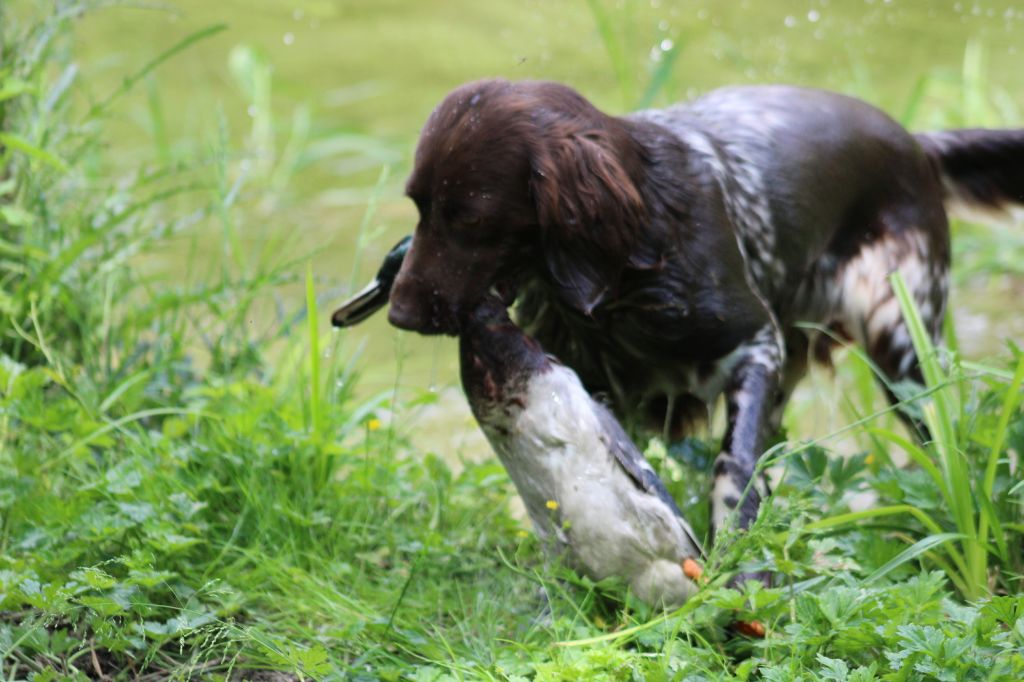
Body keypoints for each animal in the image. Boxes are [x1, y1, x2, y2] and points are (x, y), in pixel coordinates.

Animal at [378, 79, 1024, 557]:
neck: (635, 265)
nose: (400, 311)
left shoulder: (755, 345)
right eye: (418, 205)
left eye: (469, 217)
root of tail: (916, 142)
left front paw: (739, 564)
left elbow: (731, 465)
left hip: (902, 348)